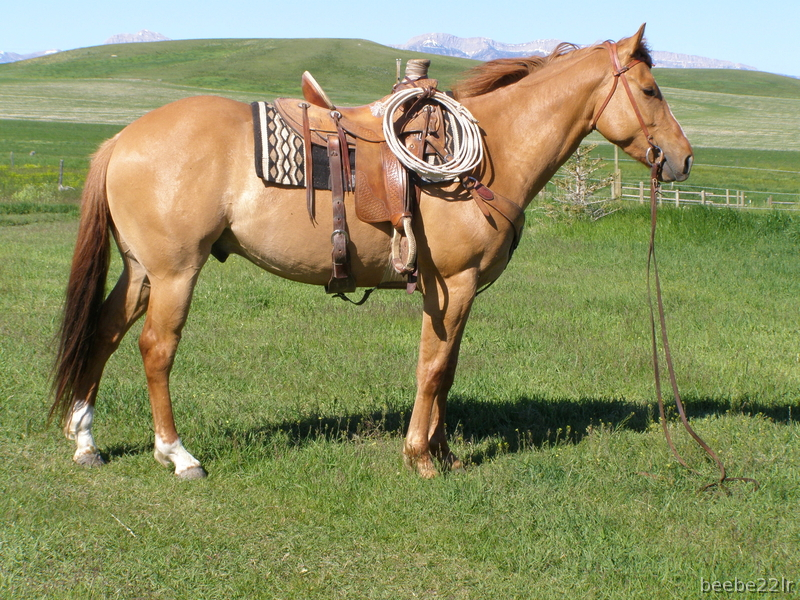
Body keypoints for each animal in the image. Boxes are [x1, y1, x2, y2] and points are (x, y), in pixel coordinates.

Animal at [51, 25, 693, 479]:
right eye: (650, 90)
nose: (682, 158)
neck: (494, 153)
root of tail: (122, 139)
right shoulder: (452, 285)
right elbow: (432, 368)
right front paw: (421, 457)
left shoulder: (454, 293)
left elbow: (447, 369)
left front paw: (444, 452)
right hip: (175, 271)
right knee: (156, 349)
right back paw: (177, 454)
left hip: (141, 271)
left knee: (104, 332)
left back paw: (85, 440)